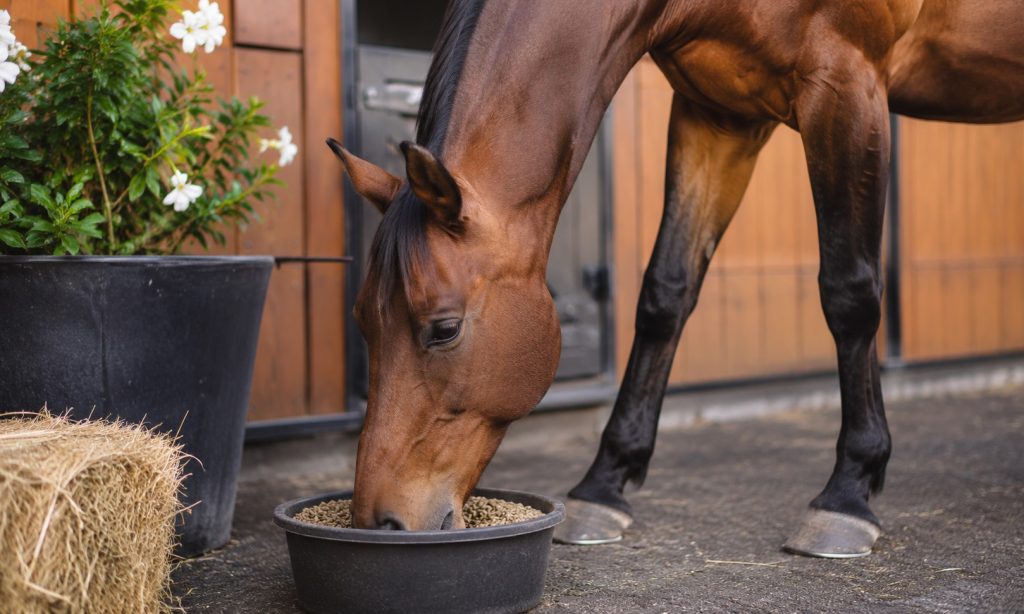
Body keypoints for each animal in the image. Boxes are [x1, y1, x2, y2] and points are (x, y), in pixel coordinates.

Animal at [326, 0, 1024, 557]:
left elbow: (849, 293)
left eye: (443, 329)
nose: (381, 523)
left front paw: (847, 493)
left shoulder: (848, 86)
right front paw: (604, 484)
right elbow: (666, 292)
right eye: (360, 321)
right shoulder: (717, 113)